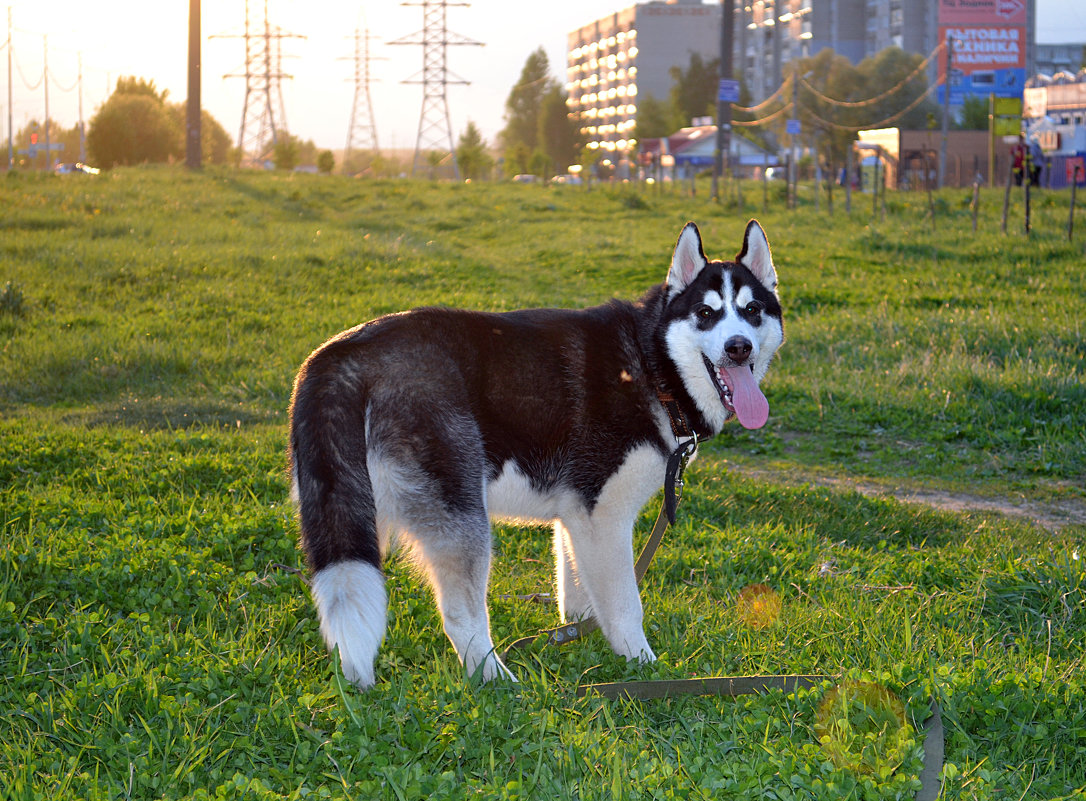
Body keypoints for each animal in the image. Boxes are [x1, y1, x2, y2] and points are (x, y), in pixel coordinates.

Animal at [288, 218, 781, 685]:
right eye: (706, 313)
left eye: (752, 311)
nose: (739, 348)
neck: (652, 365)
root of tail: (344, 353)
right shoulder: (604, 516)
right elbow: (625, 605)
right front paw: (642, 665)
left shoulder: (577, 517)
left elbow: (579, 596)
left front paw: (580, 643)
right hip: (463, 514)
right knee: (460, 617)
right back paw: (497, 681)